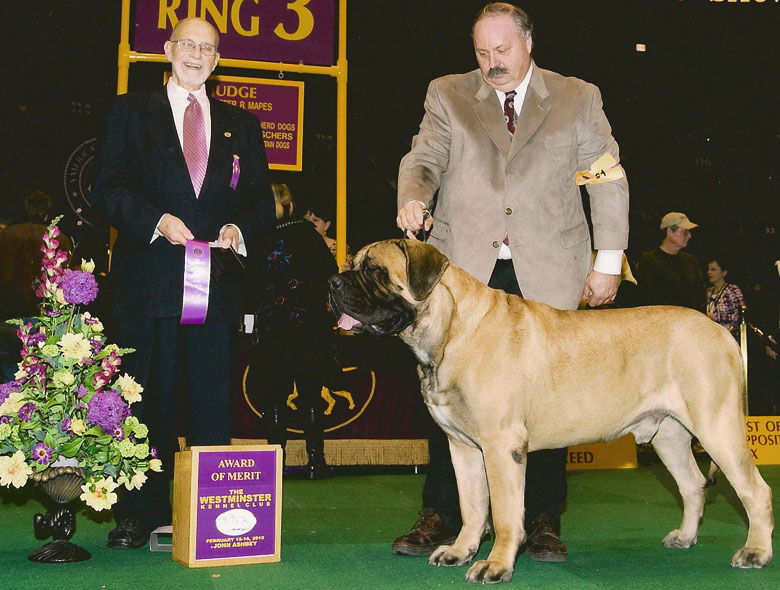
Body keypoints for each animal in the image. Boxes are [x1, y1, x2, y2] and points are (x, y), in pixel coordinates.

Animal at [328, 238, 772, 584]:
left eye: (375, 272)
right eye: (351, 265)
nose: (332, 282)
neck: (451, 326)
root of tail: (720, 330)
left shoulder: (501, 446)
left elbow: (505, 512)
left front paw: (495, 565)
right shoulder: (463, 448)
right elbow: (472, 505)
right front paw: (460, 550)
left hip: (718, 427)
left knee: (755, 491)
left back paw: (755, 552)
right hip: (669, 435)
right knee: (693, 484)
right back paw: (685, 536)